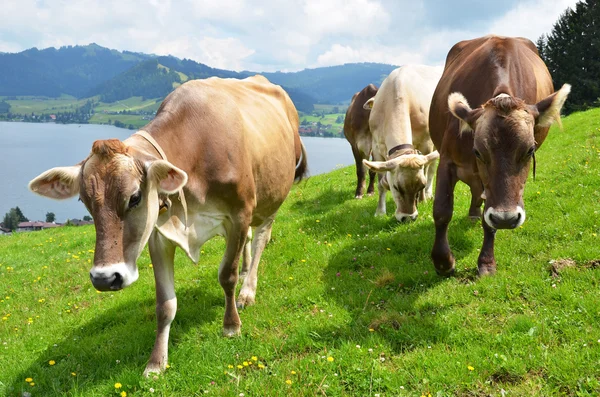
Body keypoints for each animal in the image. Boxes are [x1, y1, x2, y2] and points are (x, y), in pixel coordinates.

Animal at [28, 76, 308, 376]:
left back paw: (247, 290)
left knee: (259, 241)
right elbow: (164, 303)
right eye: (84, 201)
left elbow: (227, 275)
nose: (104, 278)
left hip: (272, 200)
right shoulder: (157, 234)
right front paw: (156, 362)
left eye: (134, 197)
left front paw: (231, 325)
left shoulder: (239, 214)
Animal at [360, 64, 440, 220]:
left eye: (420, 186)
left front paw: (422, 199)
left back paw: (429, 194)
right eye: (396, 187)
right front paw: (380, 211)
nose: (408, 217)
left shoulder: (426, 144)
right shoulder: (377, 147)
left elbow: (425, 170)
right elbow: (380, 182)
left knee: (432, 168)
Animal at [428, 36, 568, 276]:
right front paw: (443, 262)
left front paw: (486, 262)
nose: (506, 218)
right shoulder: (447, 159)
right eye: (477, 151)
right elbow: (442, 210)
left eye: (530, 150)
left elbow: (489, 220)